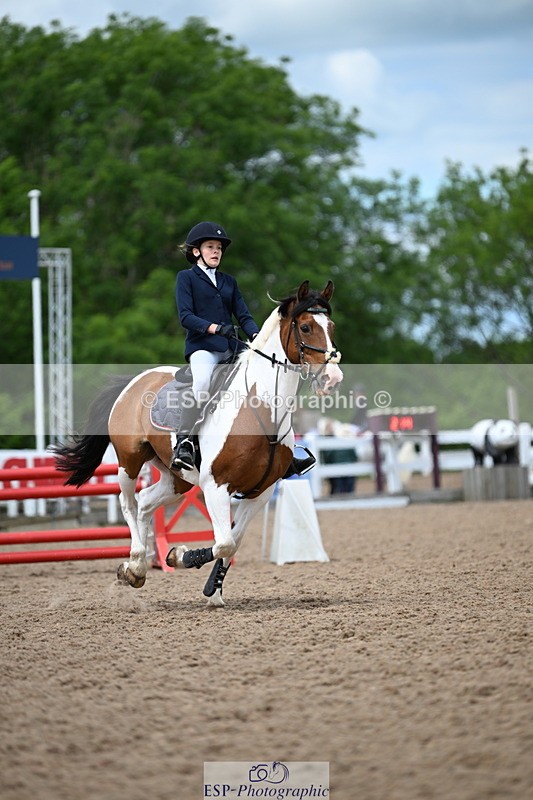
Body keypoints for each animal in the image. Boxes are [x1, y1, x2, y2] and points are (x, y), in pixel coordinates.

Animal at [52, 280, 343, 607]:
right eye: (305, 327)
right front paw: (178, 556)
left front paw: (213, 591)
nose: (333, 378)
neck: (260, 410)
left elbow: (233, 543)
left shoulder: (261, 492)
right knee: (128, 502)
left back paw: (136, 570)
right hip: (129, 460)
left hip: (177, 477)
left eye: (331, 326)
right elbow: (224, 542)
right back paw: (136, 561)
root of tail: (134, 381)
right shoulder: (216, 486)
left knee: (146, 502)